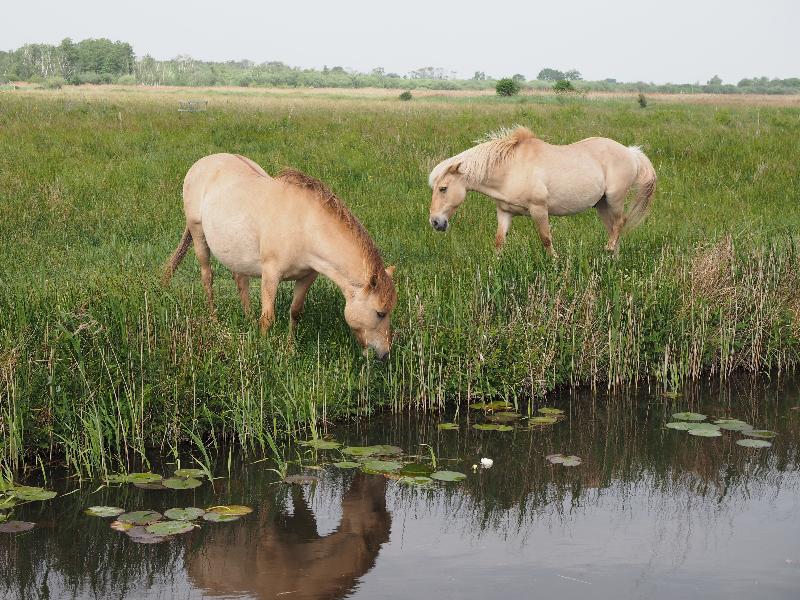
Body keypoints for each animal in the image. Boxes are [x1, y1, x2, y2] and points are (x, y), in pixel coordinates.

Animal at [162, 153, 397, 359]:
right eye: (380, 313)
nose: (385, 354)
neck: (304, 225)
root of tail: (202, 163)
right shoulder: (271, 275)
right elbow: (267, 318)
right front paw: (263, 348)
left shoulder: (307, 276)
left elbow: (295, 311)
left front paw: (290, 348)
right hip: (198, 234)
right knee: (207, 277)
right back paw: (214, 319)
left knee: (240, 280)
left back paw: (247, 318)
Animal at [428, 127, 656, 256]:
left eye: (443, 188)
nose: (435, 222)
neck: (510, 169)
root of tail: (630, 152)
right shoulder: (505, 212)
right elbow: (499, 241)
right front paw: (495, 269)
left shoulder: (539, 210)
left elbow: (546, 239)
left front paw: (554, 264)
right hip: (601, 204)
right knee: (613, 229)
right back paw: (612, 259)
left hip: (615, 198)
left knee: (620, 223)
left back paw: (608, 250)